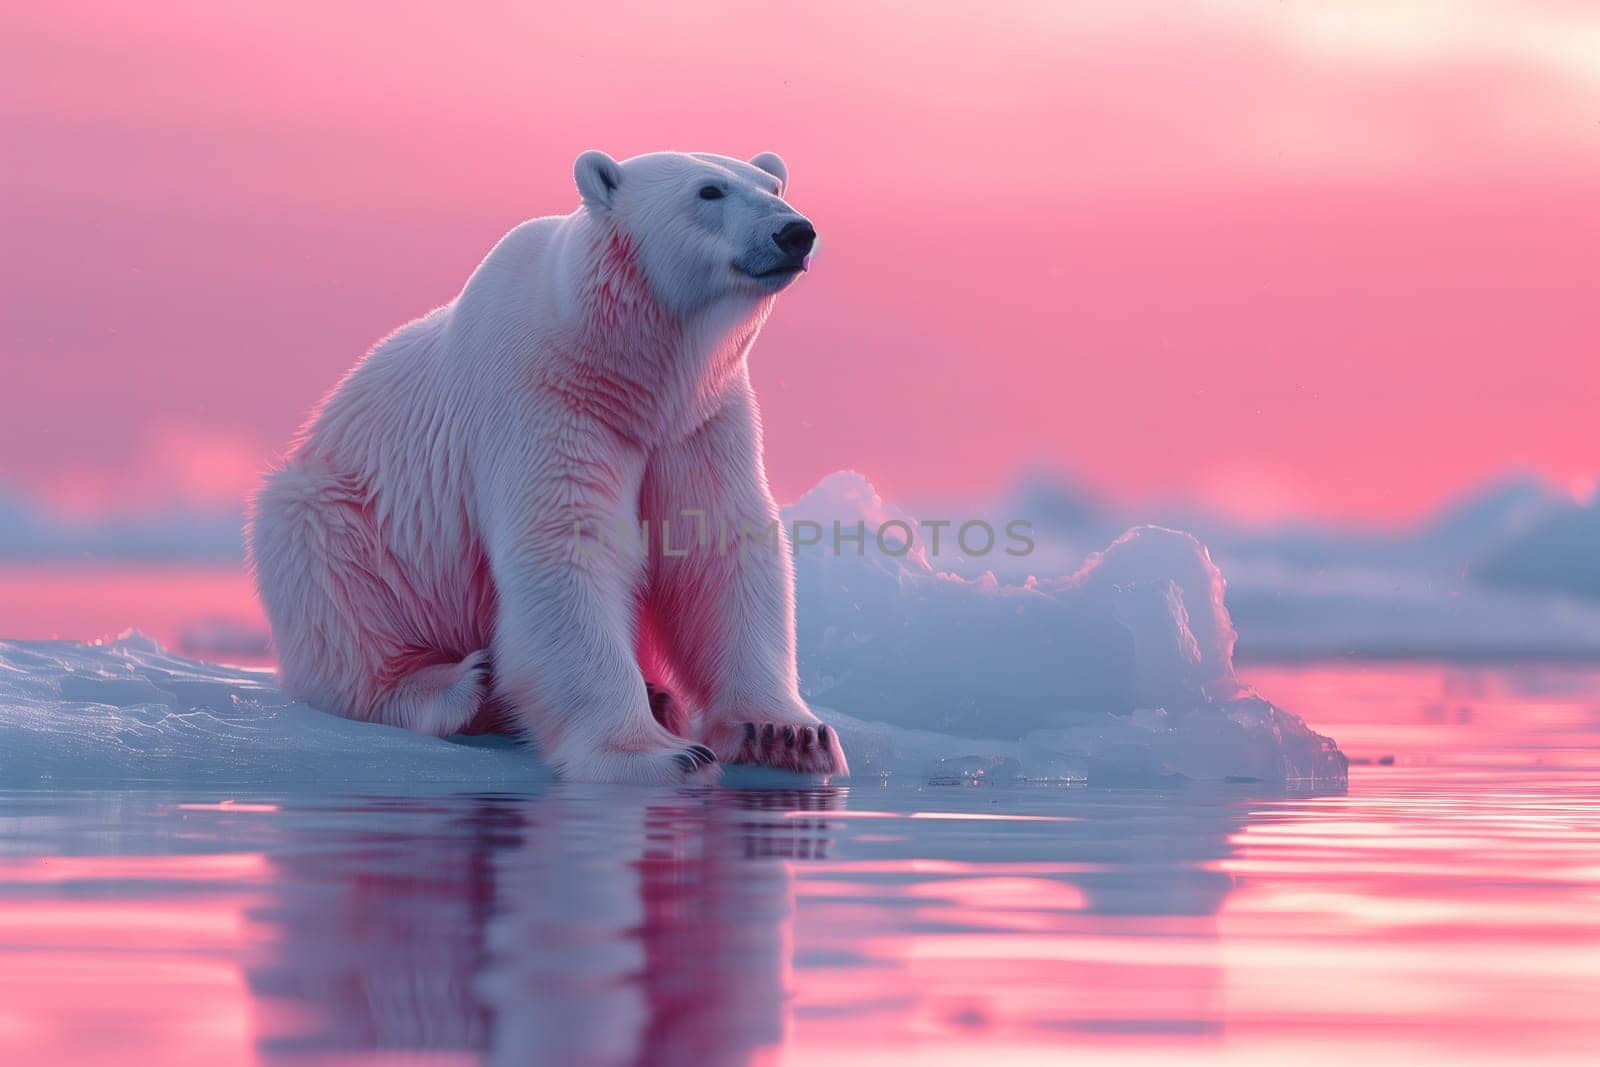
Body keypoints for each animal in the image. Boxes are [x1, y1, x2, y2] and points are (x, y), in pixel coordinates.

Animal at [246, 147, 851, 783]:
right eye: (709, 190)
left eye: (773, 186)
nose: (795, 232)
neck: (621, 366)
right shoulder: (543, 393)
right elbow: (567, 547)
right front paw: (660, 754)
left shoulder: (699, 420)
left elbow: (717, 544)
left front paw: (786, 733)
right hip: (339, 514)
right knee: (337, 594)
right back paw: (458, 687)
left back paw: (658, 695)